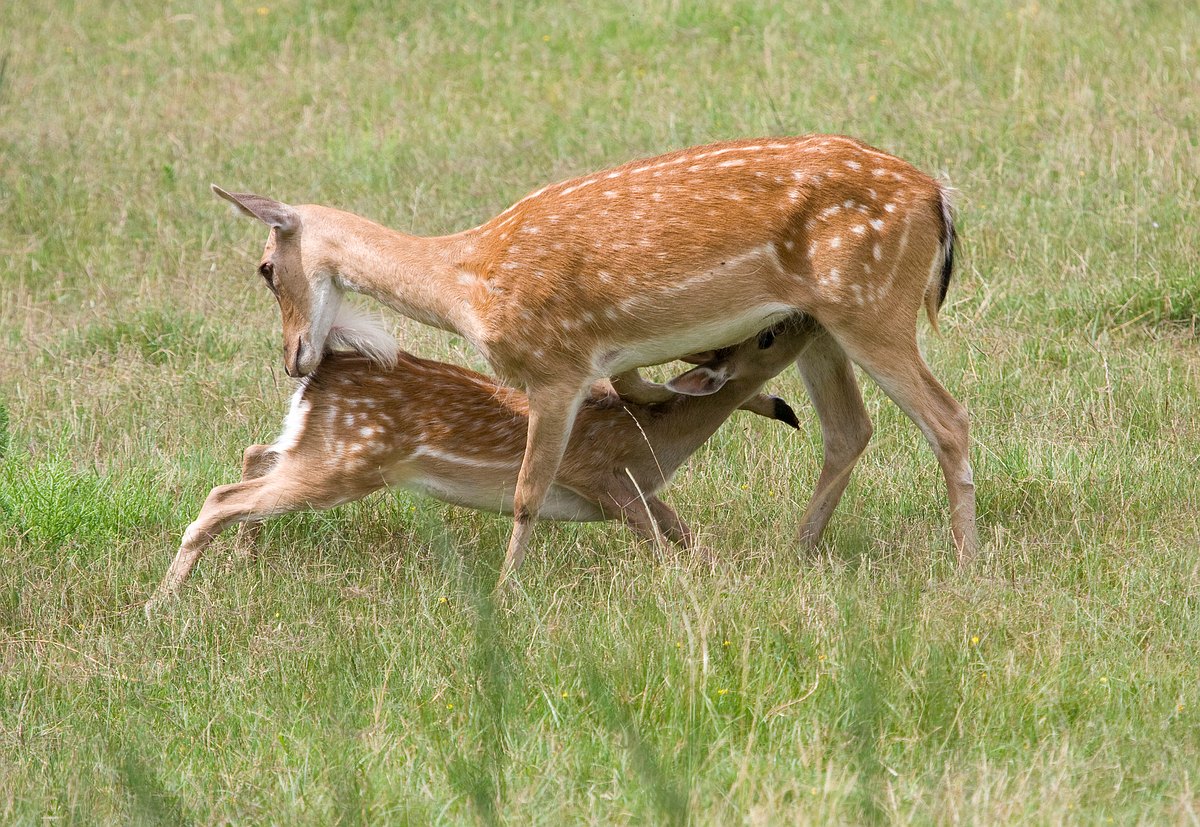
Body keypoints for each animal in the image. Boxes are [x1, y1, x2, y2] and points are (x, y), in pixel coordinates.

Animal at [145, 309, 811, 600]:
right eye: (766, 336)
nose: (803, 316)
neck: (655, 439)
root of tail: (324, 367)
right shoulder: (603, 479)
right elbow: (659, 538)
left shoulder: (641, 491)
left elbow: (685, 534)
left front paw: (724, 572)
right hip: (348, 460)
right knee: (223, 494)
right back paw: (163, 601)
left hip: (315, 444)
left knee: (255, 454)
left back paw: (241, 560)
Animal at [208, 133, 974, 580]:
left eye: (265, 269)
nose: (295, 361)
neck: (469, 282)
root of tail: (939, 197)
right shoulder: (603, 364)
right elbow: (639, 395)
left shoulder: (555, 366)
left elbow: (528, 491)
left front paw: (507, 591)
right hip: (819, 324)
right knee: (850, 429)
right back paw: (798, 551)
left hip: (871, 307)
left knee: (948, 418)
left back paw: (965, 564)